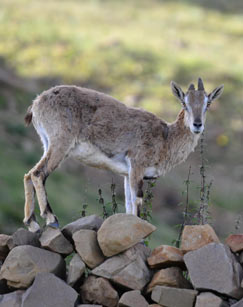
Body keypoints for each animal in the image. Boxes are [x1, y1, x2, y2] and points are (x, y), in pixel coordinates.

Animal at [23, 78, 223, 232]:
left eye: (207, 104)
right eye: (184, 103)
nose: (197, 125)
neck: (166, 138)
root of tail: (37, 102)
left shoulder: (127, 174)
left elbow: (128, 206)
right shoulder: (137, 166)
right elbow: (137, 202)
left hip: (47, 143)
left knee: (28, 174)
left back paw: (32, 223)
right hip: (60, 144)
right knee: (38, 173)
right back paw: (51, 219)